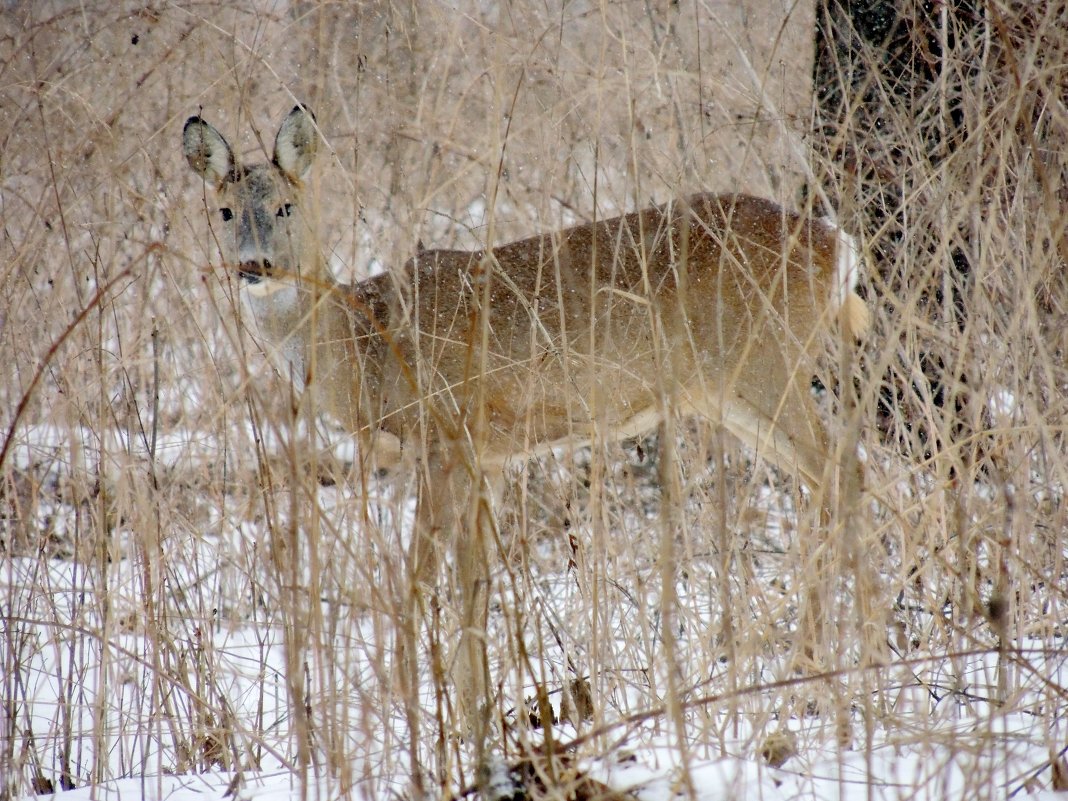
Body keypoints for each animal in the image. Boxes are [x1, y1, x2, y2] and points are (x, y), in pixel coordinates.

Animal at [181, 103, 867, 743]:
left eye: (287, 205)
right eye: (225, 212)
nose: (255, 266)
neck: (363, 344)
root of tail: (838, 247)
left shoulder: (445, 436)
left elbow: (422, 581)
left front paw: (416, 710)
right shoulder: (485, 455)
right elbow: (475, 583)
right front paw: (476, 716)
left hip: (766, 365)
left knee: (844, 470)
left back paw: (817, 670)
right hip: (733, 390)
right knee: (829, 478)